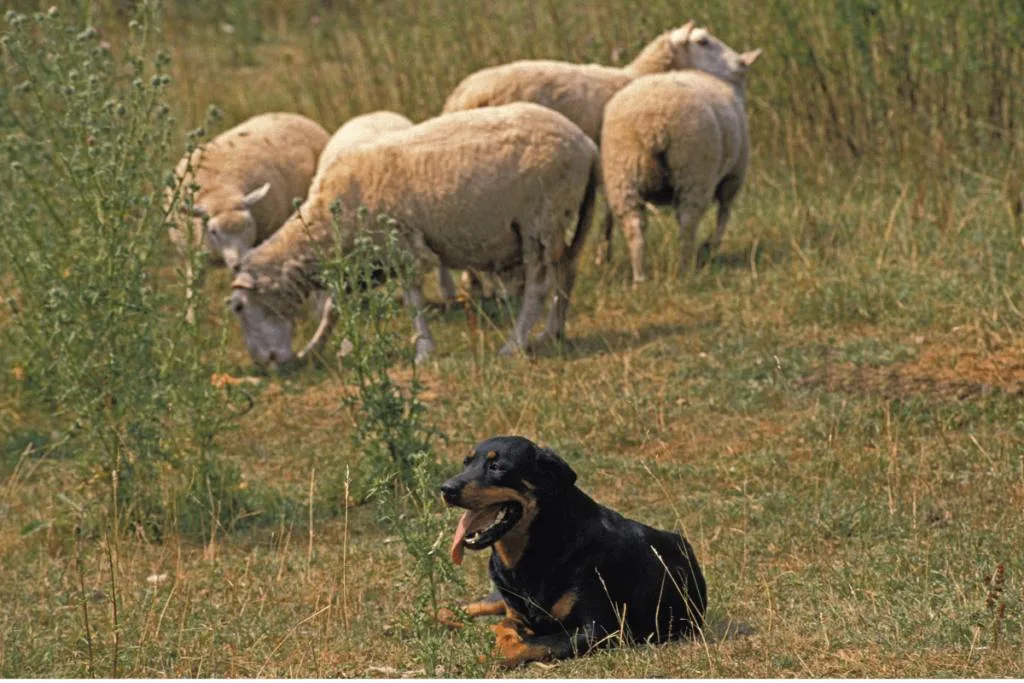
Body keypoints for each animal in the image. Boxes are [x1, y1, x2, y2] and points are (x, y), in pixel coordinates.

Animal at [166, 112, 327, 270]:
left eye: (249, 224)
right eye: (213, 231)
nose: (238, 264)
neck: (219, 193)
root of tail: (289, 114)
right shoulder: (190, 257)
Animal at [226, 101, 598, 366]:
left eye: (238, 308)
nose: (264, 363)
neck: (323, 224)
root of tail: (585, 145)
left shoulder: (402, 246)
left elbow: (414, 302)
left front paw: (423, 350)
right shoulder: (362, 262)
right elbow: (335, 308)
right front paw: (314, 349)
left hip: (540, 220)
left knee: (539, 286)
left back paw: (514, 344)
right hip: (564, 219)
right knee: (567, 272)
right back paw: (552, 332)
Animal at [436, 436, 708, 663]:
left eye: (497, 467)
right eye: (466, 463)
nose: (446, 489)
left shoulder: (601, 630)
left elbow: (525, 643)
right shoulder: (516, 612)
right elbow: (509, 626)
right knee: (452, 609)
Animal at [598, 28, 761, 284]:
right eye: (703, 41)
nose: (740, 62)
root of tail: (653, 123)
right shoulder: (734, 175)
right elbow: (724, 214)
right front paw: (709, 247)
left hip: (622, 173)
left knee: (635, 228)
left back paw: (640, 278)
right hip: (693, 171)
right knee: (687, 222)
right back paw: (686, 269)